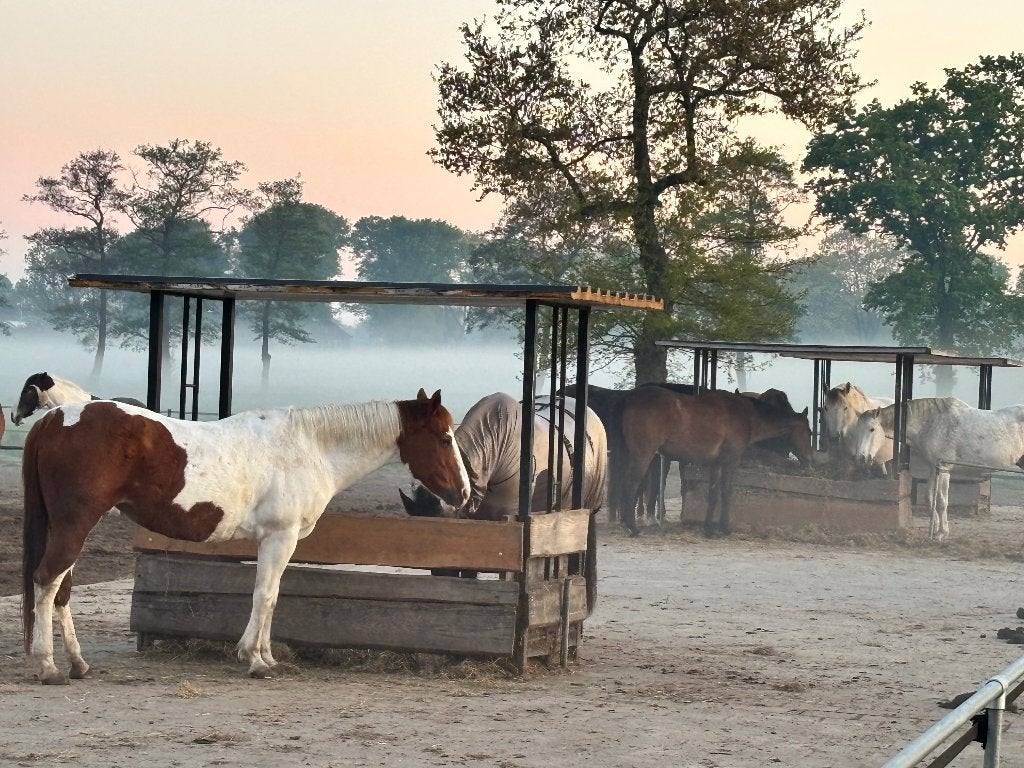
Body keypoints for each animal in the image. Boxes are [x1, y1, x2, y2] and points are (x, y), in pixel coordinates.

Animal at [22, 389, 470, 683]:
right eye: (445, 437)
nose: (463, 494)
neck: (309, 447)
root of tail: (54, 418)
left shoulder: (277, 540)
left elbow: (270, 596)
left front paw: (267, 656)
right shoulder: (279, 537)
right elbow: (265, 596)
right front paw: (254, 659)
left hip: (73, 527)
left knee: (60, 590)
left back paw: (78, 664)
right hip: (74, 524)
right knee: (46, 582)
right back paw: (47, 666)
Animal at [613, 387, 813, 536]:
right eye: (810, 432)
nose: (810, 460)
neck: (746, 415)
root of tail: (631, 398)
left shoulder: (715, 464)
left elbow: (713, 494)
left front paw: (708, 528)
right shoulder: (730, 462)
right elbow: (726, 492)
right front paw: (724, 528)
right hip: (643, 455)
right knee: (630, 485)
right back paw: (632, 528)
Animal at [854, 398, 1024, 541]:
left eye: (871, 429)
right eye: (857, 429)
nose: (861, 458)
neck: (932, 423)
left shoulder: (944, 469)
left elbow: (942, 501)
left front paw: (942, 533)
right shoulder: (933, 468)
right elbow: (930, 498)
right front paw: (934, 530)